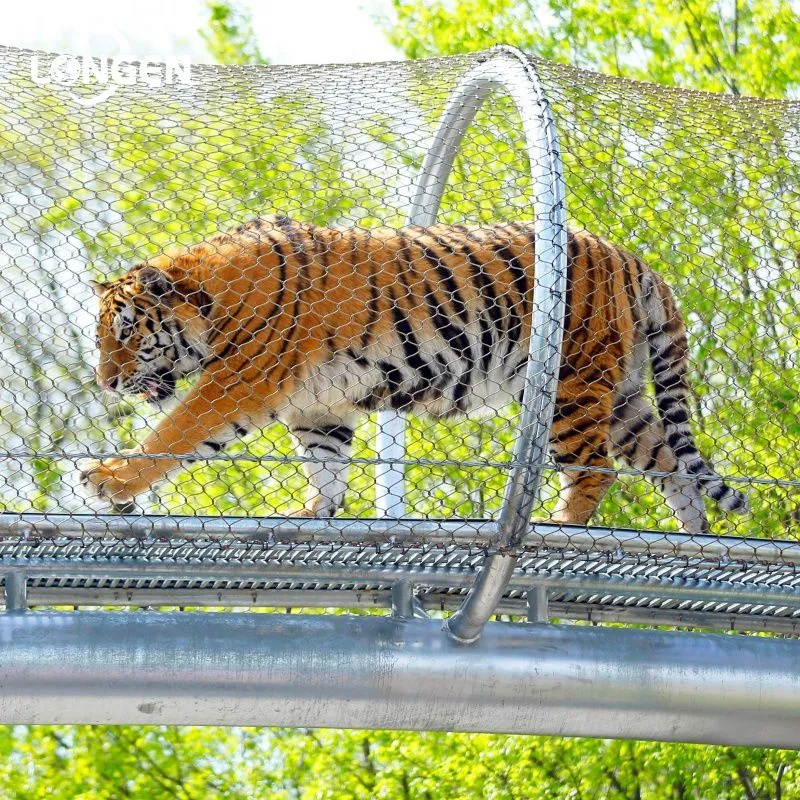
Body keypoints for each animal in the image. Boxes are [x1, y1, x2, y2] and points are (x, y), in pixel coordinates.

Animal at [80, 214, 748, 533]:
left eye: (126, 335)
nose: (106, 382)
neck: (214, 303)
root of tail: (633, 260)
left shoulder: (238, 381)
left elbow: (173, 435)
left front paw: (106, 480)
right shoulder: (318, 405)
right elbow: (327, 466)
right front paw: (311, 513)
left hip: (573, 385)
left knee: (595, 470)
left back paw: (558, 524)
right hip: (623, 398)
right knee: (669, 462)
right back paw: (696, 534)